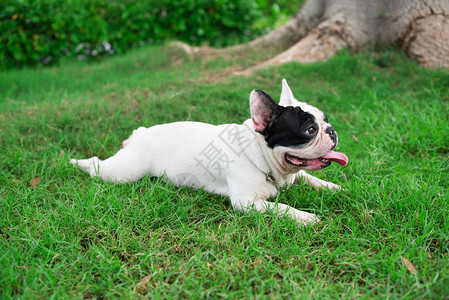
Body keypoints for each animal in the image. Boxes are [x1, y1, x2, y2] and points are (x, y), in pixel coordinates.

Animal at [72, 78, 348, 224]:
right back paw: (77, 163)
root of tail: (139, 133)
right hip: (124, 172)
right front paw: (307, 217)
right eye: (310, 130)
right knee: (98, 167)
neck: (261, 157)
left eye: (325, 120)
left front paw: (337, 188)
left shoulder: (295, 175)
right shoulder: (247, 202)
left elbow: (310, 178)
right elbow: (282, 208)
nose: (331, 131)